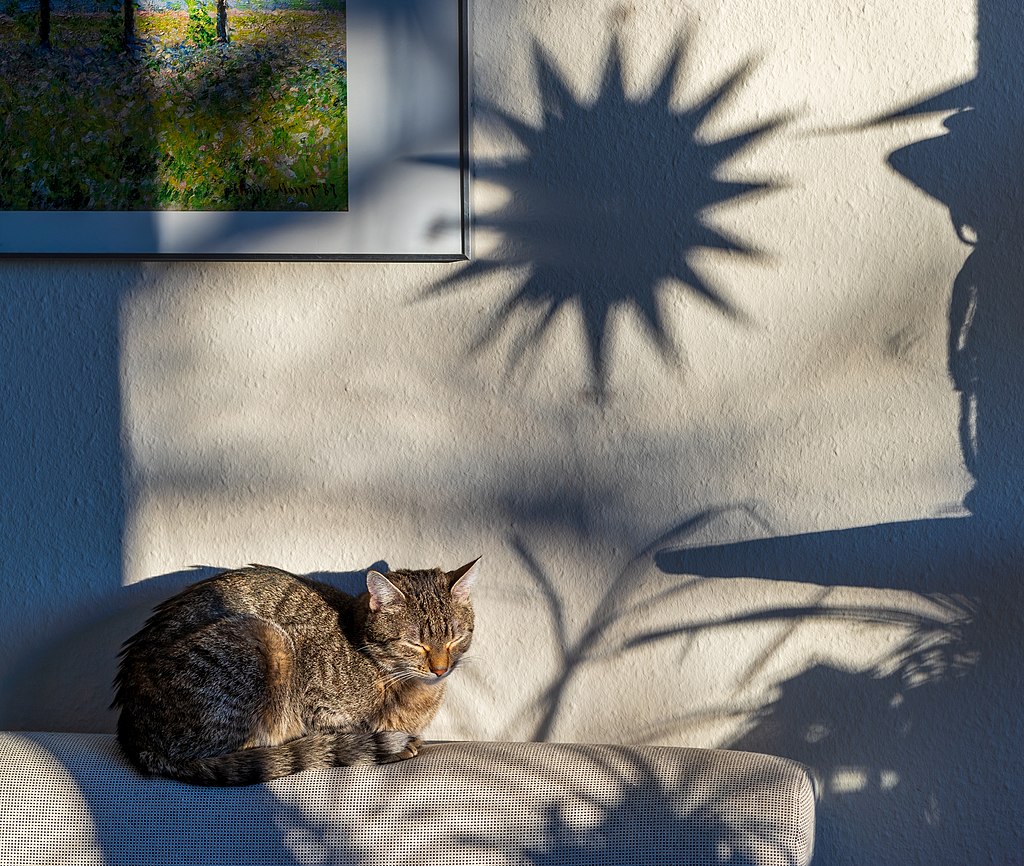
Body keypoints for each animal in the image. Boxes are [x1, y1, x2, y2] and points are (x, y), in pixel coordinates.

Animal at [114, 560, 481, 790]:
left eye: (456, 638)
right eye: (414, 643)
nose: (440, 668)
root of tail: (137, 737)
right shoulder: (311, 685)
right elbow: (339, 729)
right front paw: (379, 742)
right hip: (267, 641)